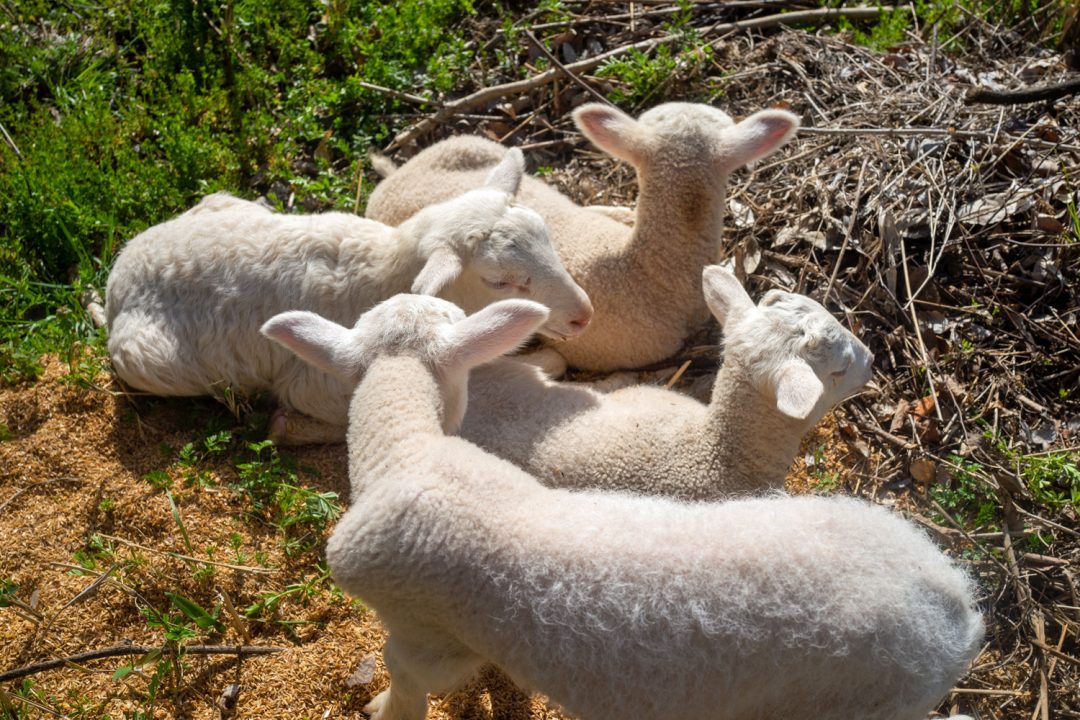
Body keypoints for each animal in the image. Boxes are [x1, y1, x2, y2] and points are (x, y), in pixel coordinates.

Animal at [105, 147, 591, 444]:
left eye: (546, 235)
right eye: (499, 280)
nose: (583, 316)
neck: (385, 270)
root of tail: (119, 273)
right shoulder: (317, 386)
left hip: (219, 202)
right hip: (146, 360)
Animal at [263, 291, 989, 720]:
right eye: (834, 368)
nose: (871, 358)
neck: (406, 454)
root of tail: (956, 603)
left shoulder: (425, 638)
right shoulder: (423, 640)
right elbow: (412, 683)